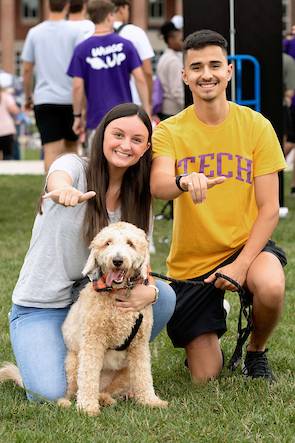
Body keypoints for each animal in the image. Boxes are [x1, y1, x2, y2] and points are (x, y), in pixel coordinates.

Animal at [57, 222, 169, 416]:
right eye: (107, 243)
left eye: (130, 243)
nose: (117, 260)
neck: (118, 293)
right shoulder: (92, 341)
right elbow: (88, 375)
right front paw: (87, 407)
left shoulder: (139, 345)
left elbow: (143, 374)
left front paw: (150, 401)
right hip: (72, 362)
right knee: (72, 392)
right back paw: (72, 402)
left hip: (124, 373)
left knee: (110, 390)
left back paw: (110, 398)